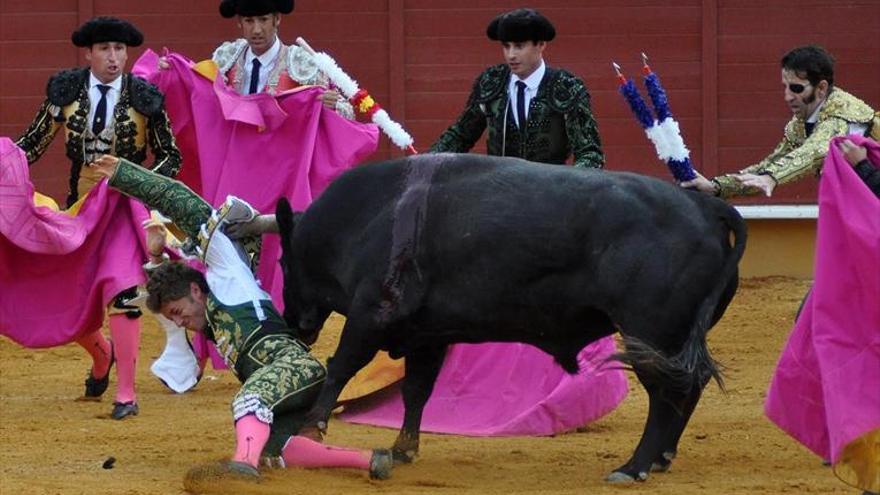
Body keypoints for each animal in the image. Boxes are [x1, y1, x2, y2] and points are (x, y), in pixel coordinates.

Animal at [274, 153, 744, 482]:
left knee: (666, 395)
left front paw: (311, 430)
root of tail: (705, 209)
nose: (293, 322)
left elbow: (341, 367)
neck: (365, 215)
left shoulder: (372, 313)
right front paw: (404, 448)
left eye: (282, 261)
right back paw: (661, 458)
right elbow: (417, 390)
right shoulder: (427, 334)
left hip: (651, 335)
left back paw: (634, 467)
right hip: (673, 340)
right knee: (690, 385)